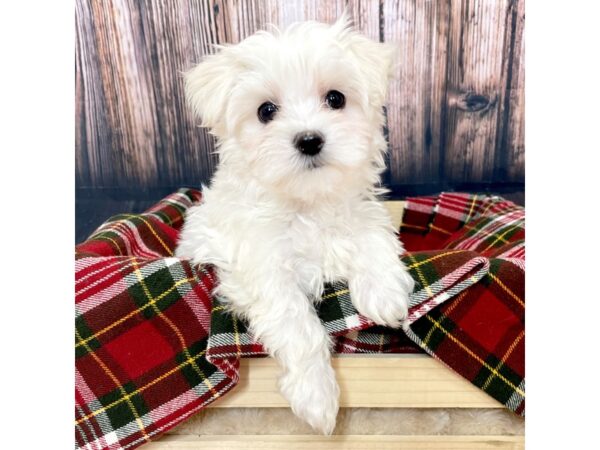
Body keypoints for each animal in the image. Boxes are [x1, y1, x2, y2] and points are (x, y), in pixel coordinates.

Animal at [176, 15, 414, 434]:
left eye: (335, 98)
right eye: (265, 110)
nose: (309, 140)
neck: (309, 202)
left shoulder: (362, 214)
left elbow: (374, 238)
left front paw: (384, 294)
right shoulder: (262, 269)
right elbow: (295, 323)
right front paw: (317, 395)